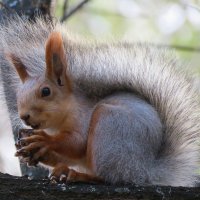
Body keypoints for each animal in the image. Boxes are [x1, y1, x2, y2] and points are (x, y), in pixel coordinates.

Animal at [0, 16, 200, 187]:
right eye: (18, 95)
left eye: (46, 91)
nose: (24, 116)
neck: (58, 122)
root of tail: (145, 172)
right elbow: (68, 155)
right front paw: (34, 150)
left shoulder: (82, 117)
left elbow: (76, 143)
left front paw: (45, 140)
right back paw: (63, 170)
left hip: (109, 129)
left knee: (109, 177)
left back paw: (78, 175)